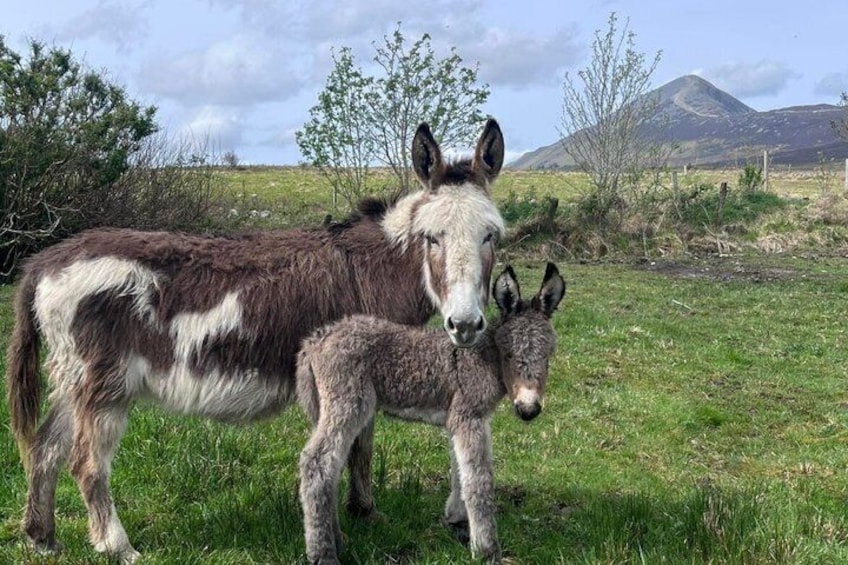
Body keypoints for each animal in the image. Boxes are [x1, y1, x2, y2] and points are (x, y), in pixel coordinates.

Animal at [5, 119, 507, 563]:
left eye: (491, 236)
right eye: (431, 238)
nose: (465, 324)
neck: (373, 269)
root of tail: (45, 262)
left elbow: (357, 449)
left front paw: (361, 514)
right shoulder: (354, 370)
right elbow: (357, 448)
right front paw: (358, 519)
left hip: (74, 381)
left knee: (45, 449)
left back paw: (43, 538)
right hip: (106, 385)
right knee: (86, 464)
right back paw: (118, 547)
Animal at [296, 263, 566, 564]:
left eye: (548, 355)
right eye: (507, 354)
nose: (528, 409)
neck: (483, 356)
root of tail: (316, 340)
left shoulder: (456, 421)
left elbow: (458, 470)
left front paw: (458, 520)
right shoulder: (469, 416)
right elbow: (478, 479)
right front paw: (486, 549)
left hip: (326, 408)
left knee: (333, 466)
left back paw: (338, 538)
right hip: (348, 403)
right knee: (317, 463)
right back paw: (323, 552)